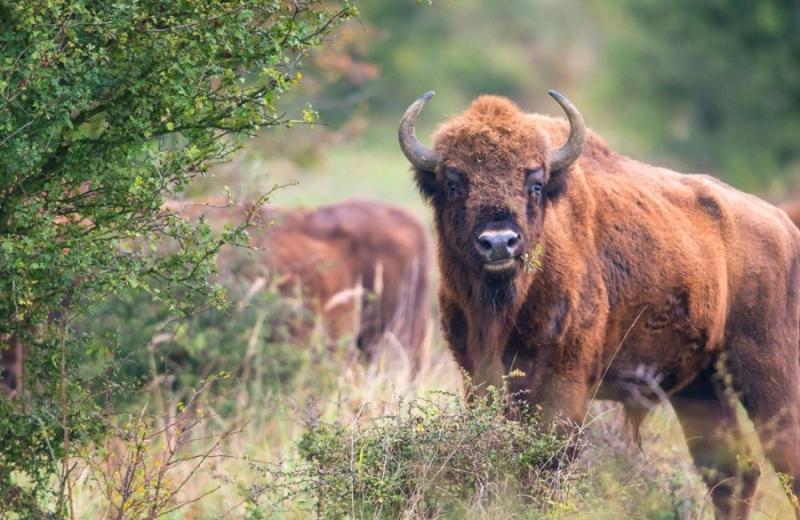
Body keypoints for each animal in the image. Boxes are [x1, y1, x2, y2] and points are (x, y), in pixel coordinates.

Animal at [404, 91, 800, 516]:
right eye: (453, 182)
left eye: (536, 183)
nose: (499, 242)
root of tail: (784, 227)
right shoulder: (477, 376)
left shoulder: (564, 381)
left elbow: (547, 463)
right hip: (702, 386)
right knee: (732, 473)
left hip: (768, 375)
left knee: (783, 461)